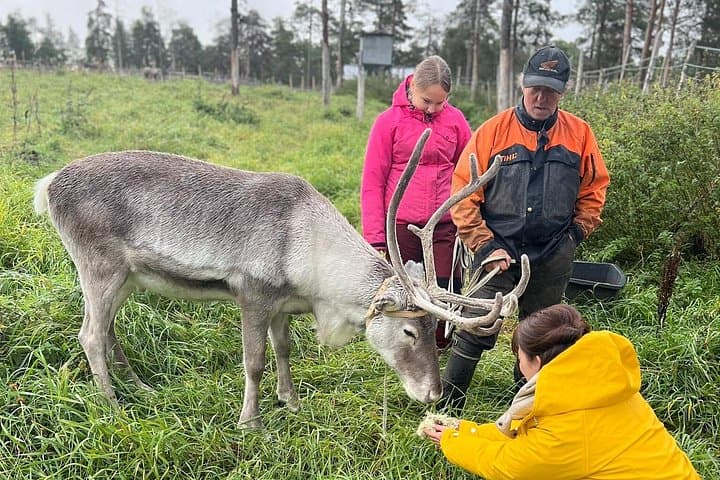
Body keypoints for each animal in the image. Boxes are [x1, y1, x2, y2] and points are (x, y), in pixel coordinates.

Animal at [33, 129, 529, 428]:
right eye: (409, 330)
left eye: (436, 328)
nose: (432, 393)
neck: (310, 266)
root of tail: (48, 184)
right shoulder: (251, 292)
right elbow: (254, 361)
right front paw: (249, 421)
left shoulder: (282, 304)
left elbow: (284, 350)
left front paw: (290, 401)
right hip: (98, 266)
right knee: (90, 334)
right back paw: (112, 405)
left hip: (126, 277)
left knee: (108, 329)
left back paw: (139, 387)